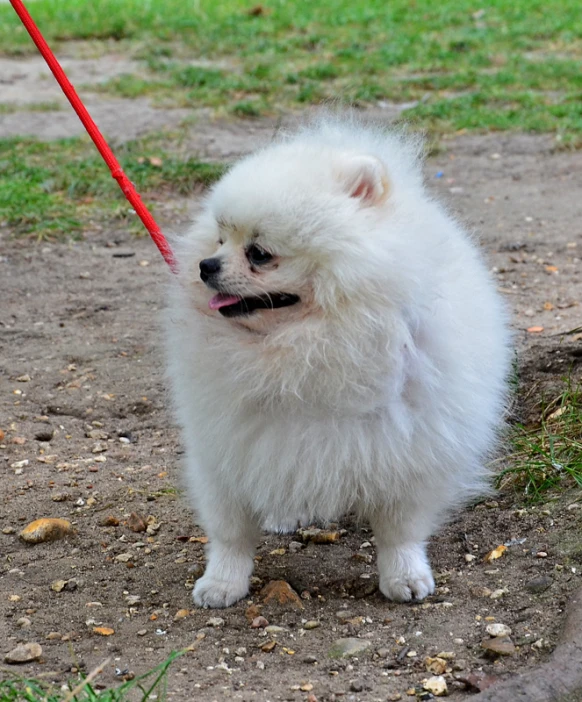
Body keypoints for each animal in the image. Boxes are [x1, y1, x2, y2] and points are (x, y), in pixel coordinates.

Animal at [165, 117, 512, 612]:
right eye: (220, 237)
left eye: (259, 253)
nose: (205, 265)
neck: (312, 350)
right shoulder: (230, 445)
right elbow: (230, 531)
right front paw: (222, 581)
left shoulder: (410, 446)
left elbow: (400, 530)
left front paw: (404, 575)